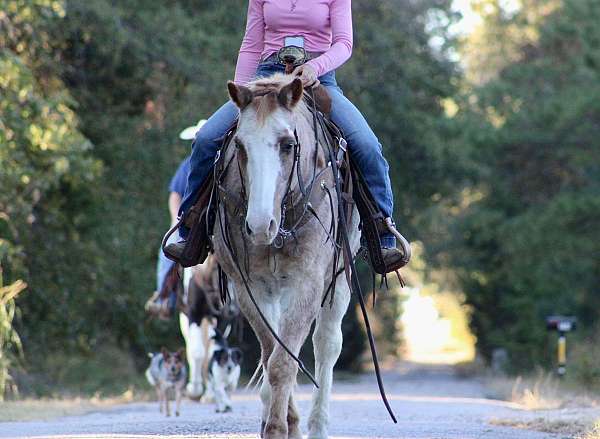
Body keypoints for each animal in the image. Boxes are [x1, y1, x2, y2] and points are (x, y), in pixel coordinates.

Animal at [213, 74, 358, 438]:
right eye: (240, 146)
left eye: (287, 144)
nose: (259, 225)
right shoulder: (248, 287)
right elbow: (272, 354)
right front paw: (283, 423)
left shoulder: (307, 284)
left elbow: (283, 361)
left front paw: (279, 427)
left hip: (339, 281)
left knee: (326, 344)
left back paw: (317, 426)